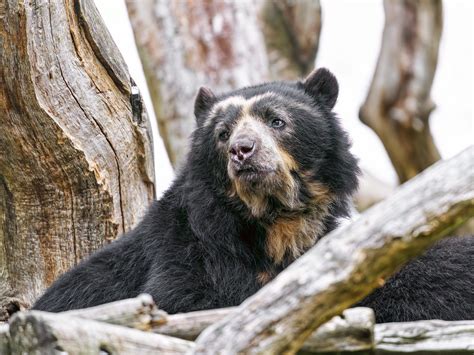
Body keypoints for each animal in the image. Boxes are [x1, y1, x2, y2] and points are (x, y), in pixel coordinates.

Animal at [34, 67, 474, 322]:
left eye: (277, 121)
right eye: (222, 133)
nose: (242, 149)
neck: (274, 219)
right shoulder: (192, 247)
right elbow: (187, 299)